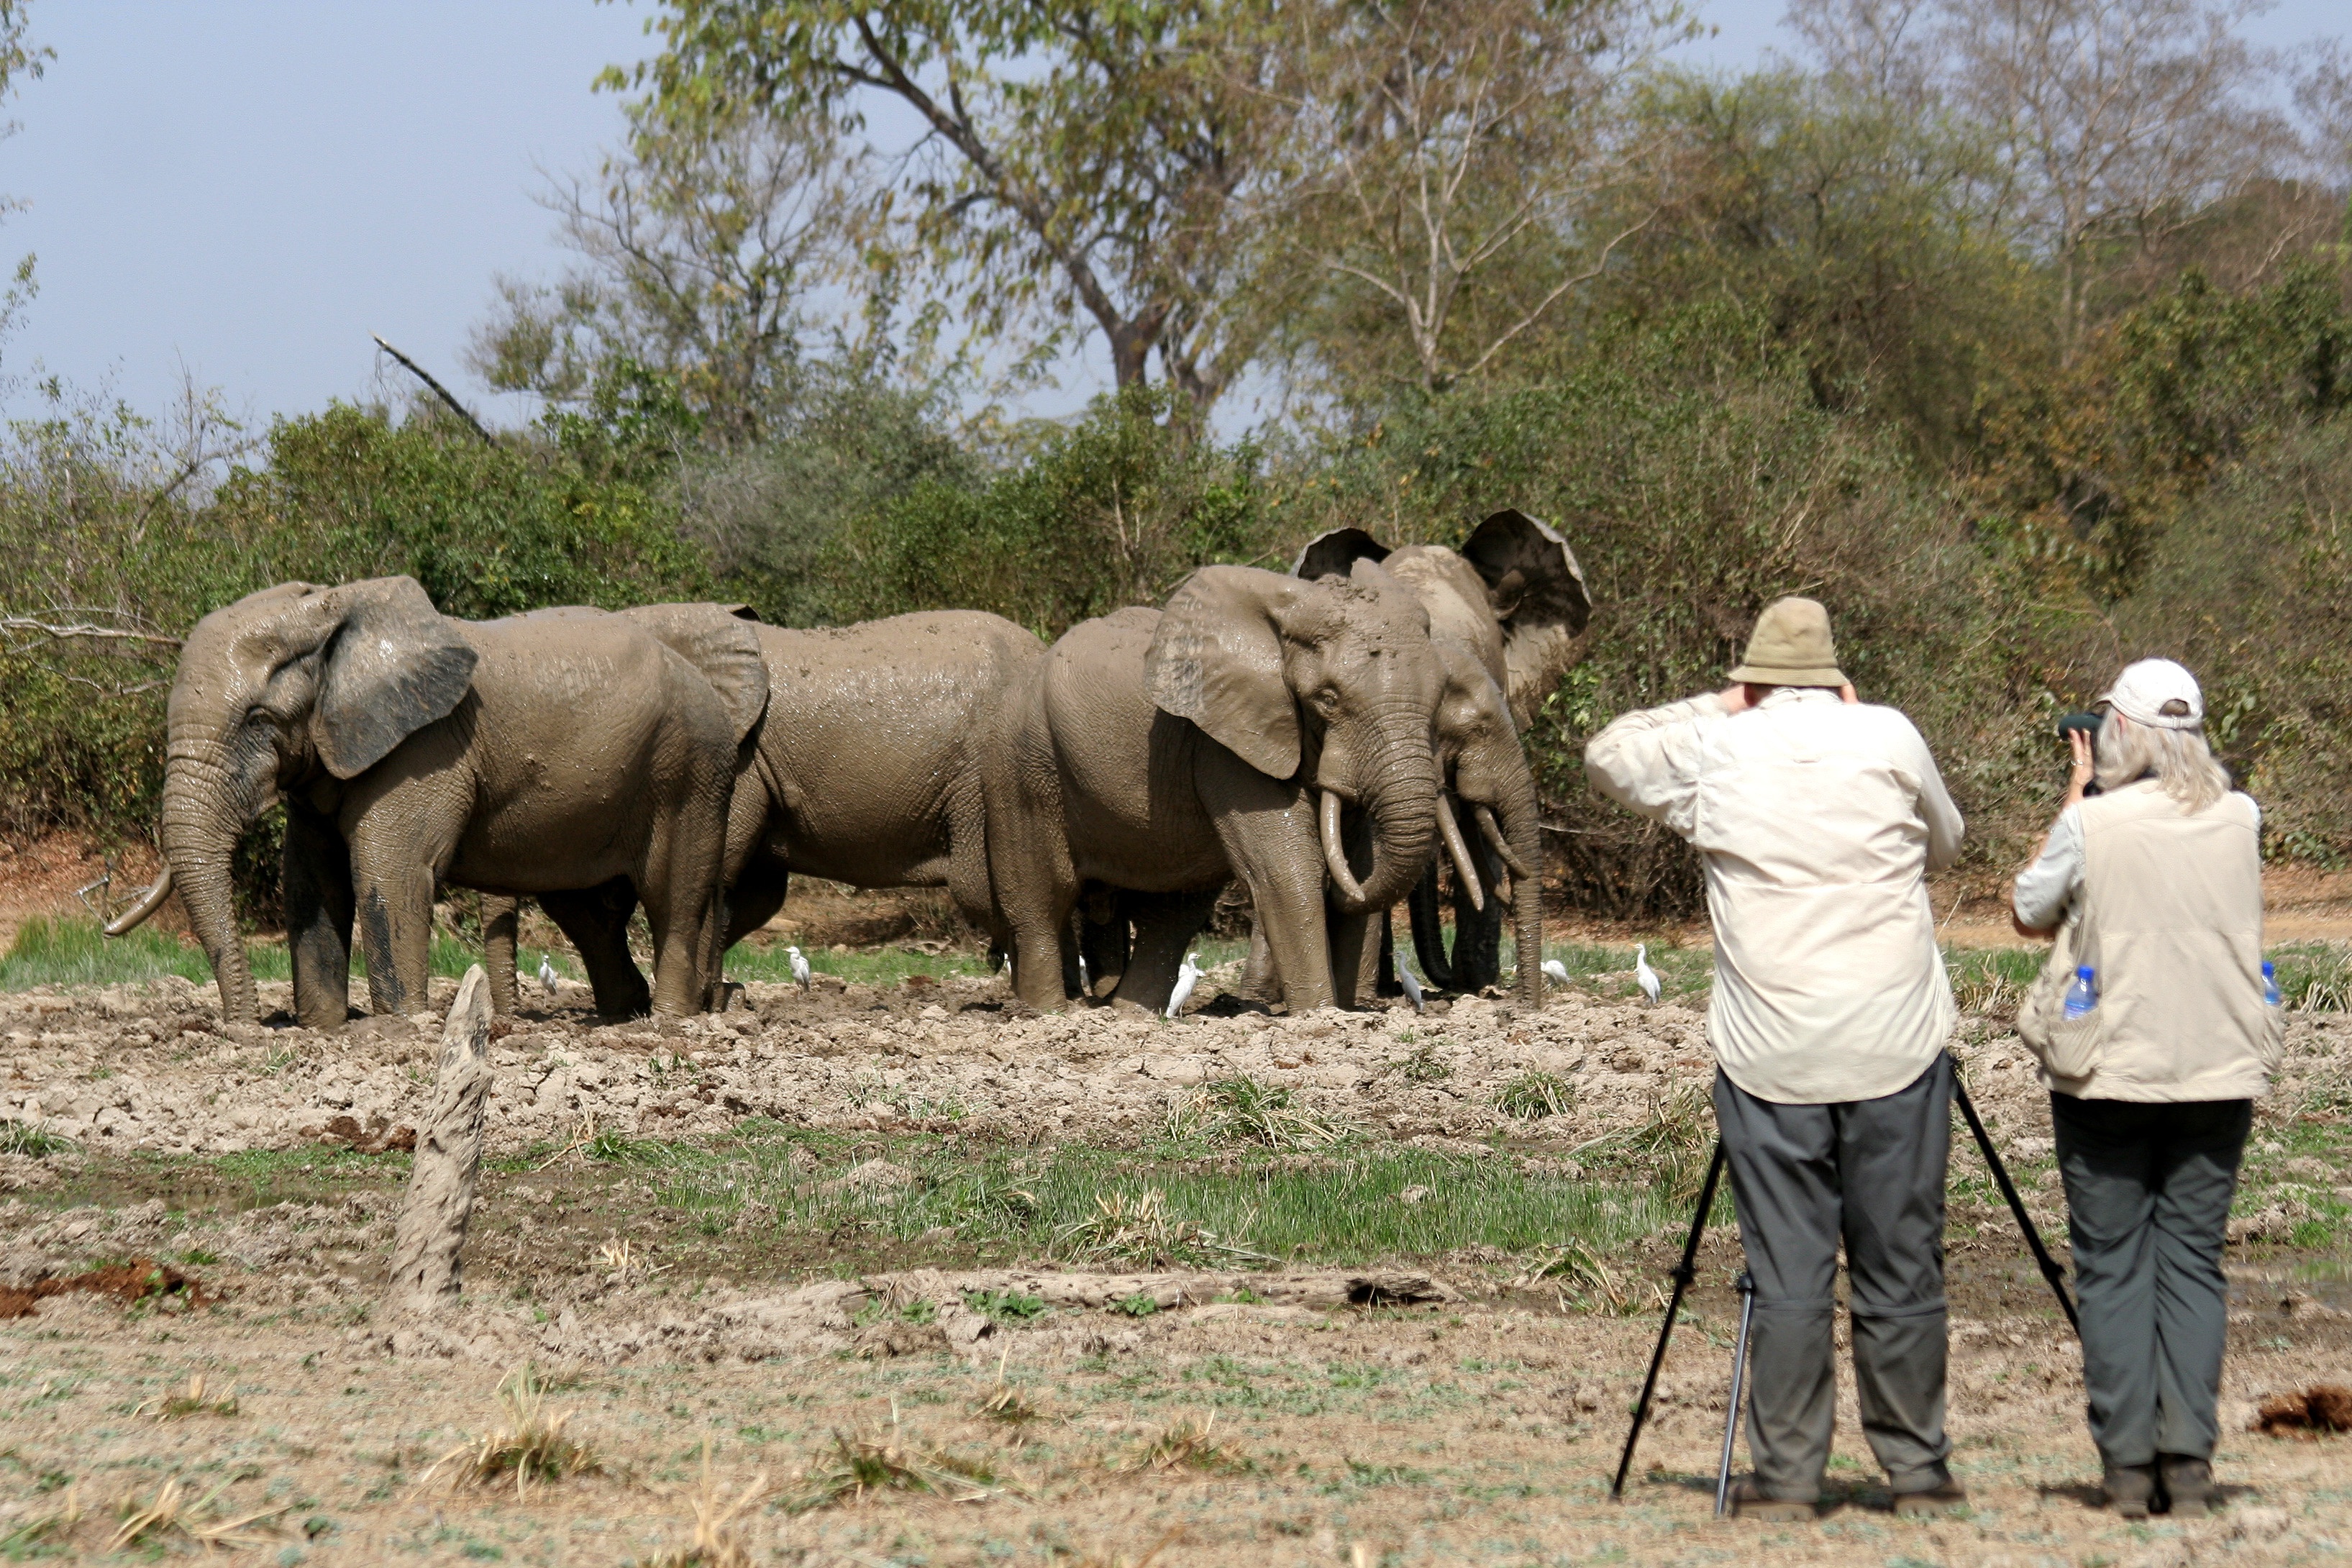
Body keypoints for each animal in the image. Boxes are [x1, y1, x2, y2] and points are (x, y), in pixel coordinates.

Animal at [108, 575, 752, 1029]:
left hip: (691, 769)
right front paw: (323, 1027)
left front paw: (398, 1026)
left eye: (257, 720)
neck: (334, 611)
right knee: (589, 910)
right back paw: (629, 1013)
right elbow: (311, 883)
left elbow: (388, 873)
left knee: (674, 896)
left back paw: (670, 1022)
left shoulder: (425, 748)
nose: (243, 1029)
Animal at [473, 606, 1044, 1011]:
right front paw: (715, 997)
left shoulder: (736, 757)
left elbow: (720, 873)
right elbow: (754, 894)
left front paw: (710, 1002)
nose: (508, 1021)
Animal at [978, 557, 1449, 1011]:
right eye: (1327, 700)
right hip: (1023, 765)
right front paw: (1320, 1014)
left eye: (1440, 696)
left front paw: (1350, 1015)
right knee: (1042, 902)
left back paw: (1130, 1016)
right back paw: (1048, 1014)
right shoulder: (1223, 744)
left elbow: (1360, 860)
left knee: (1172, 913)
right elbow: (1287, 869)